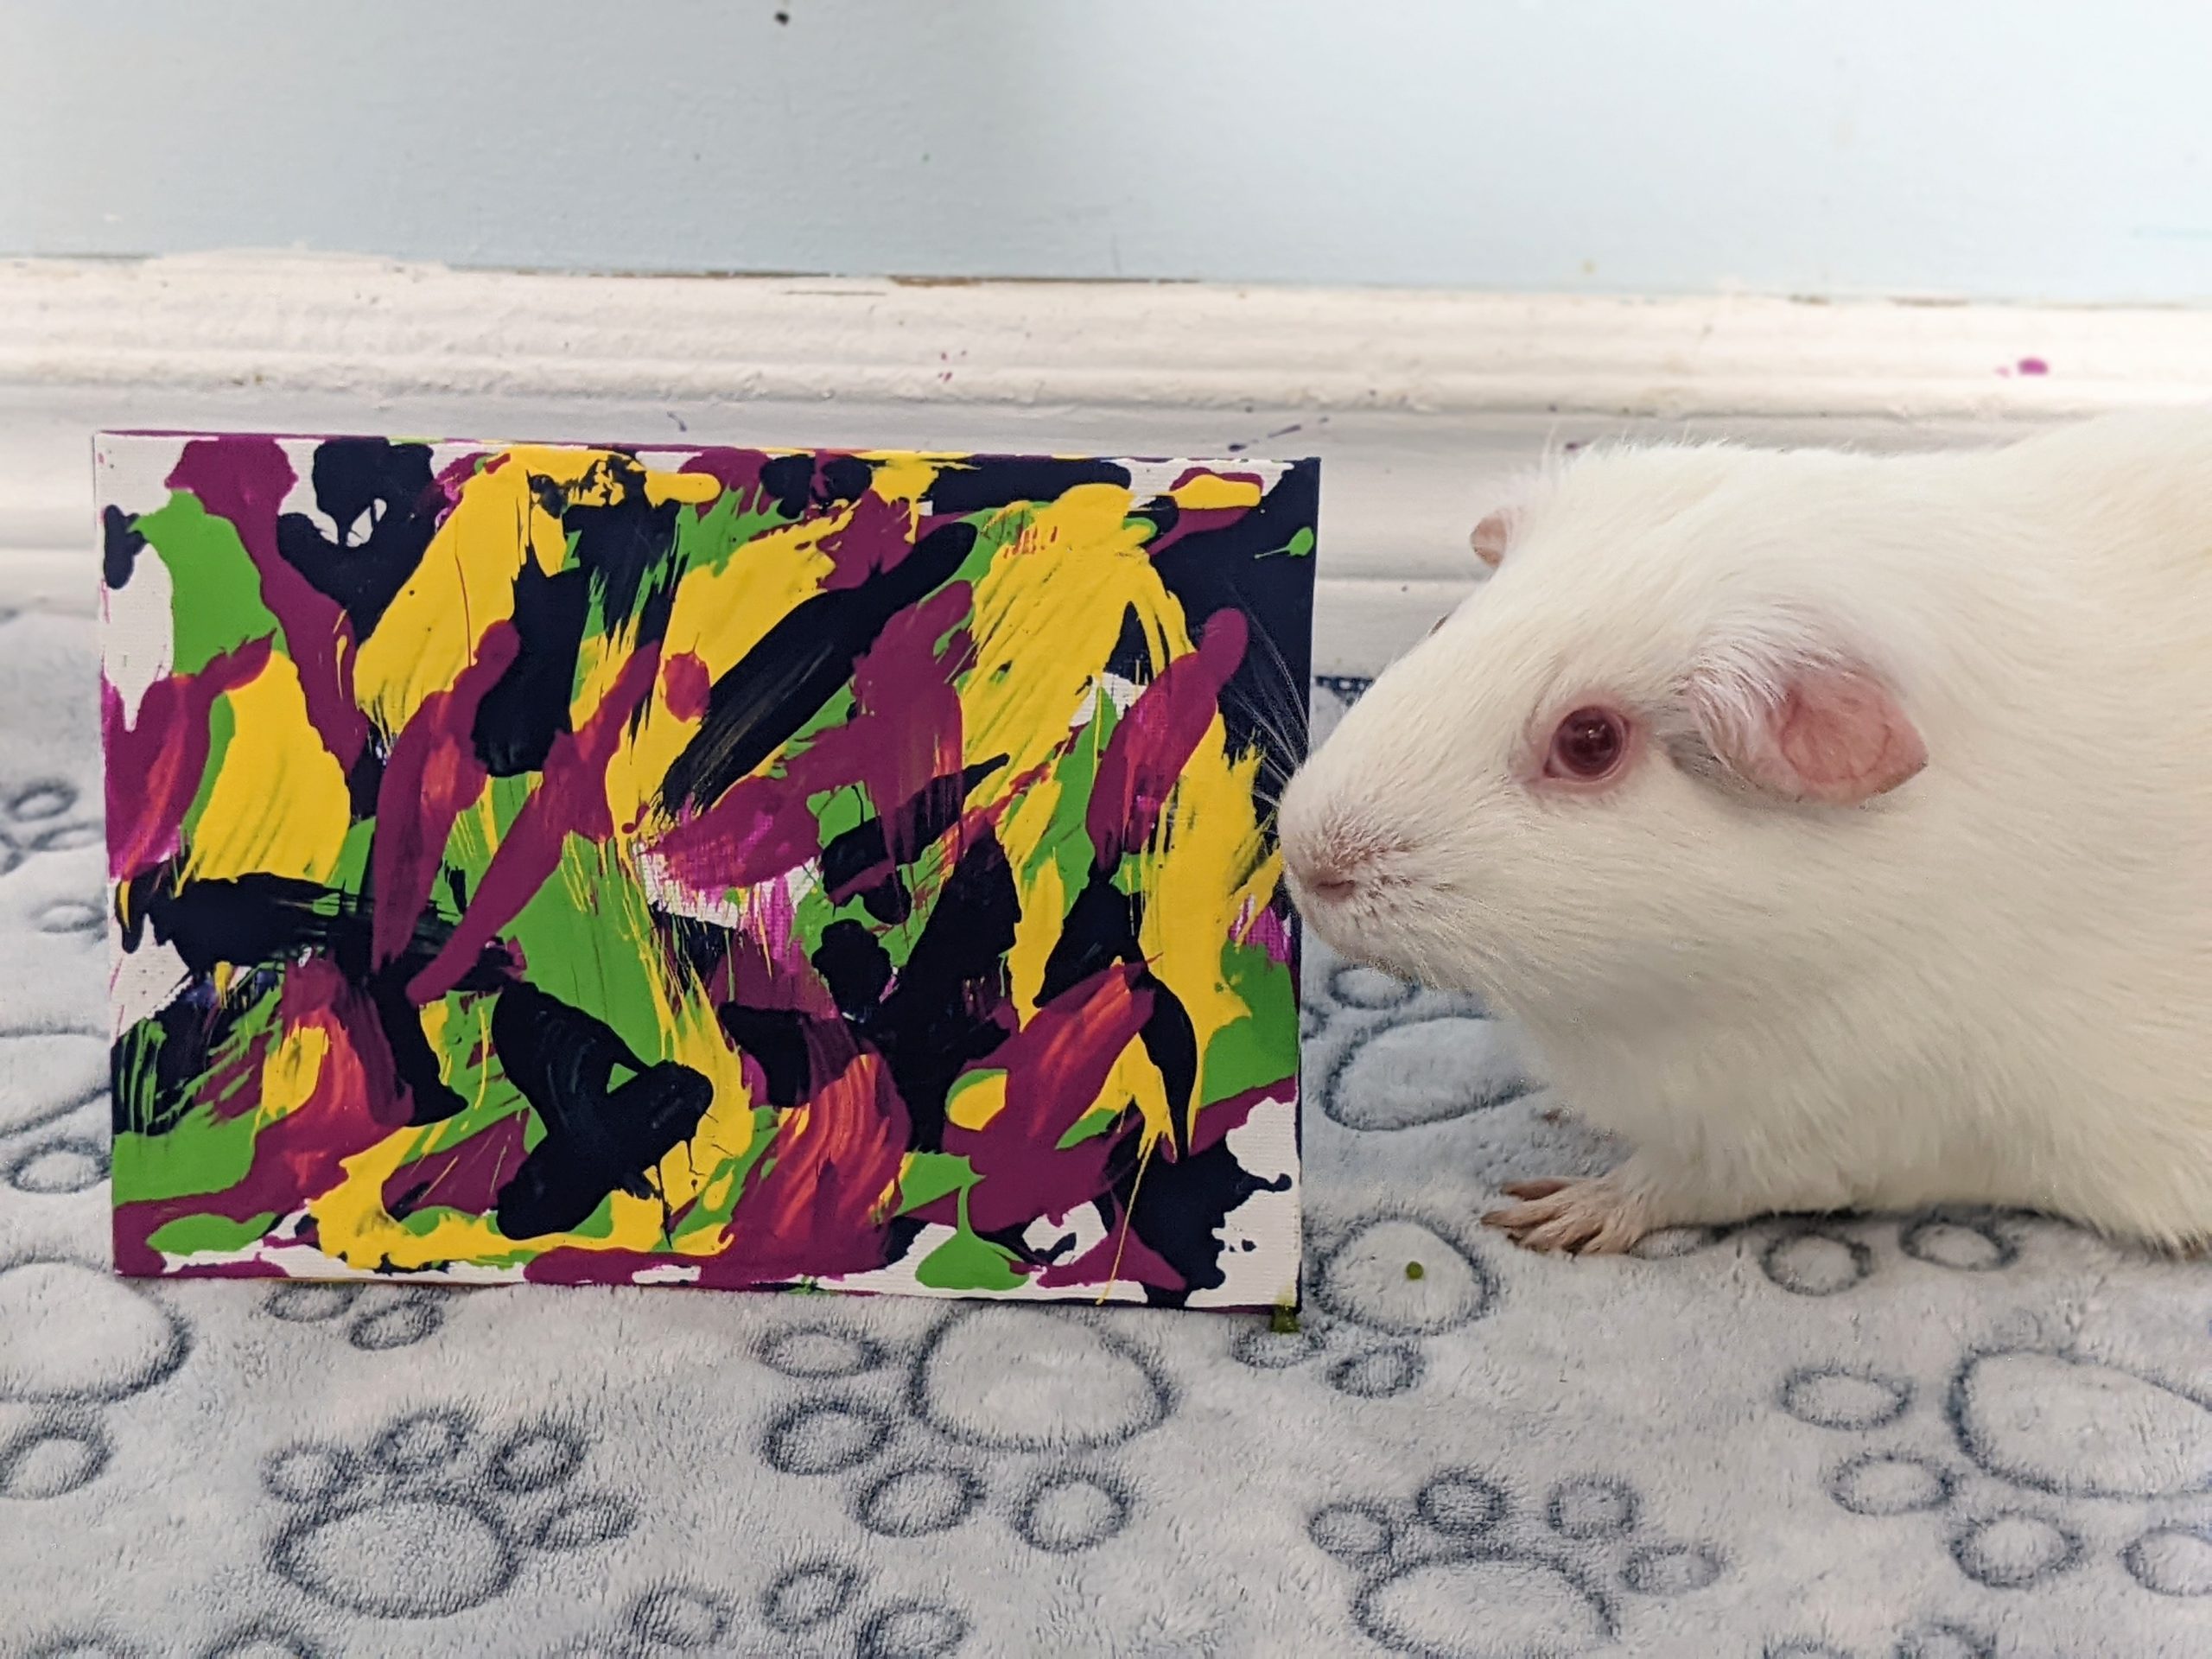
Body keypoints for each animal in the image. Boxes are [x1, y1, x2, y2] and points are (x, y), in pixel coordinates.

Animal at [1278, 411, 2212, 1255]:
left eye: (1590, 742)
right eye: (1443, 630)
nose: (1310, 859)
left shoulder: (1831, 1126)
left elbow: (1684, 1181)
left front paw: (1550, 1215)